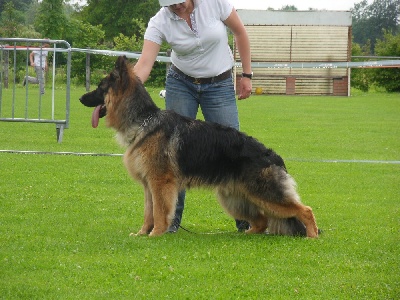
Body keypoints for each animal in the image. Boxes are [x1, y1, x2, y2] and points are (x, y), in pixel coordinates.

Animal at [80, 56, 318, 238]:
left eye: (100, 88)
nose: (81, 98)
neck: (144, 120)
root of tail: (273, 156)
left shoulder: (160, 183)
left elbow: (159, 212)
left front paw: (155, 234)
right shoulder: (149, 185)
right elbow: (148, 212)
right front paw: (142, 234)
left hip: (264, 195)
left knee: (305, 210)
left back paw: (312, 236)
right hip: (234, 198)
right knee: (261, 221)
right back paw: (247, 234)